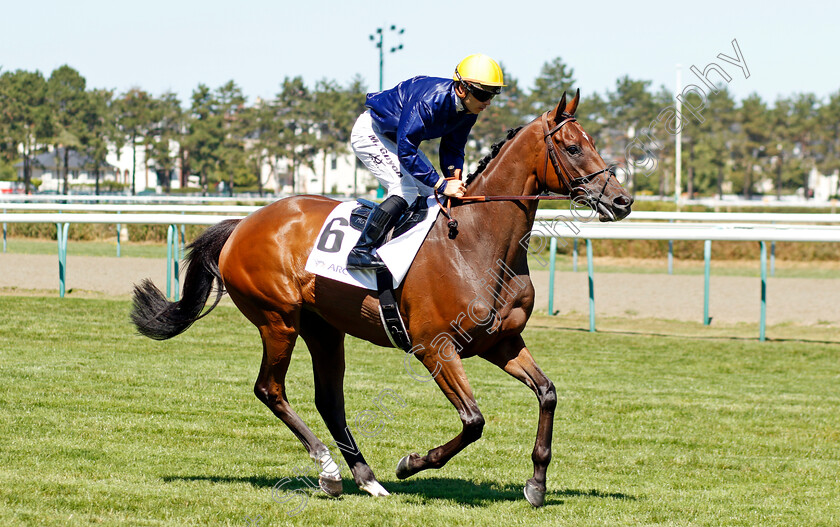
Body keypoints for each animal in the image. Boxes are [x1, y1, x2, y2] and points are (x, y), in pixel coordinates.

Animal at [131, 91, 632, 508]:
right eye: (573, 147)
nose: (622, 201)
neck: (477, 242)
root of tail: (242, 224)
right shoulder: (435, 347)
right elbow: (473, 420)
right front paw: (412, 463)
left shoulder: (500, 342)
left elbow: (547, 393)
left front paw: (536, 483)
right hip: (278, 319)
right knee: (270, 390)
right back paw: (330, 472)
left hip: (323, 328)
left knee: (329, 400)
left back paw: (366, 478)